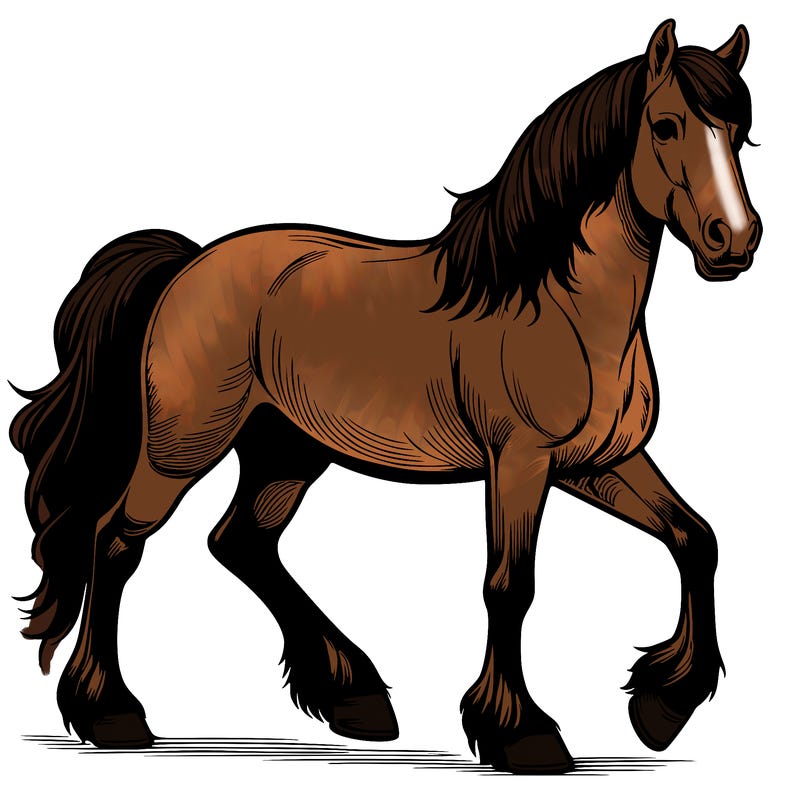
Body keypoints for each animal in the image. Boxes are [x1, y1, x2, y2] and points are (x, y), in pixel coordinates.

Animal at [10, 19, 761, 773]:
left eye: (741, 132)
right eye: (665, 125)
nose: (735, 240)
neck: (558, 306)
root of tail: (188, 264)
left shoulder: (598, 463)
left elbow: (696, 538)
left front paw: (661, 707)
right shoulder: (520, 462)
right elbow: (509, 586)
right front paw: (522, 733)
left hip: (286, 451)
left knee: (241, 542)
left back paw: (354, 697)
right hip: (182, 448)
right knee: (115, 542)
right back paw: (112, 715)